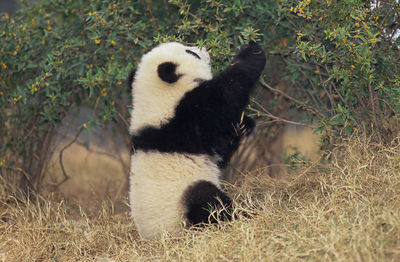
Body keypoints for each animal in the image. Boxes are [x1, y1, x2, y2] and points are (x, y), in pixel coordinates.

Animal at [128, 40, 266, 237]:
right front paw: (252, 52)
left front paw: (242, 125)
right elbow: (224, 94)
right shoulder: (184, 118)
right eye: (190, 52)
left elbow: (221, 150)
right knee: (206, 199)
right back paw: (241, 215)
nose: (203, 49)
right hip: (180, 205)